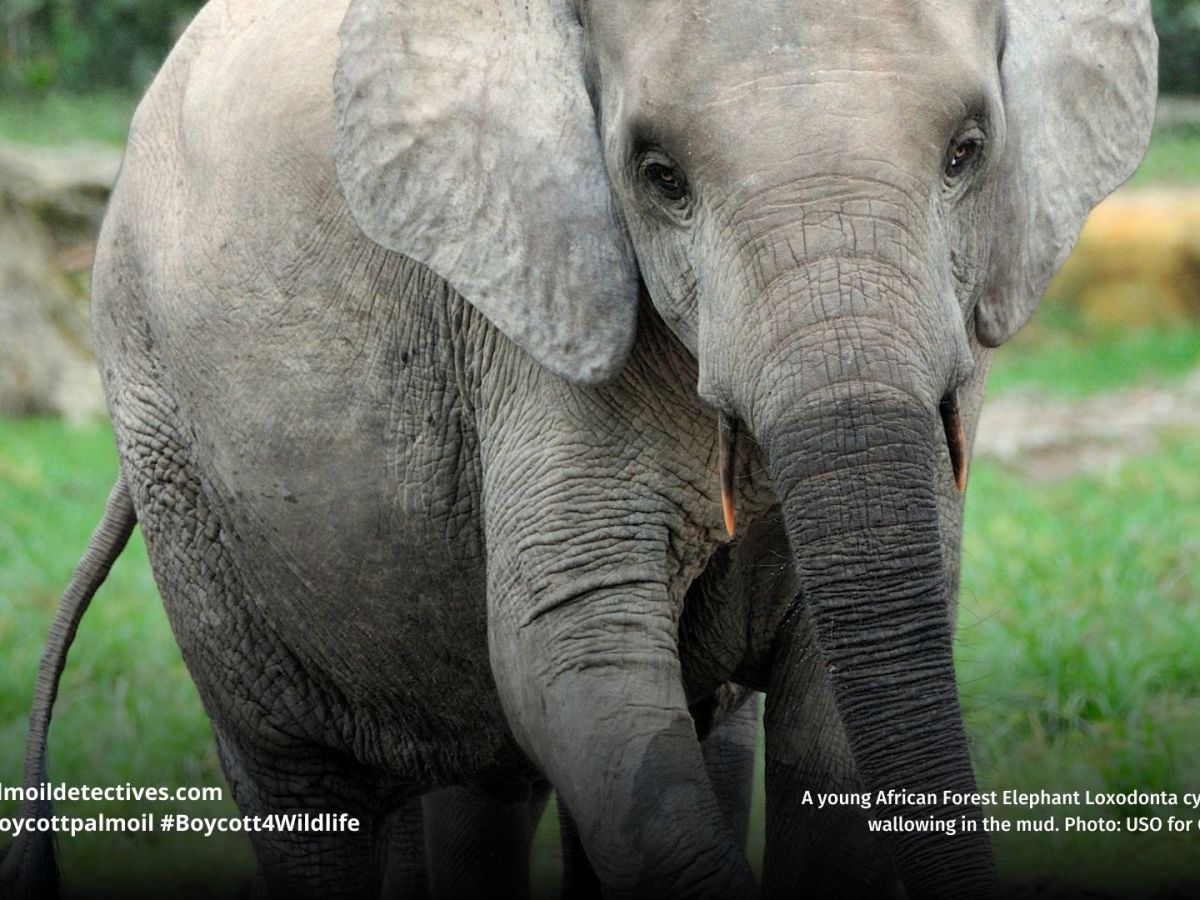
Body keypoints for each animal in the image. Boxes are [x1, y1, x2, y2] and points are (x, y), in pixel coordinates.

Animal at [1, 0, 1156, 897]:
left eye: (968, 152)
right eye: (659, 175)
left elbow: (834, 704)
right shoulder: (529, 316)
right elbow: (574, 655)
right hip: (178, 465)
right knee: (308, 791)